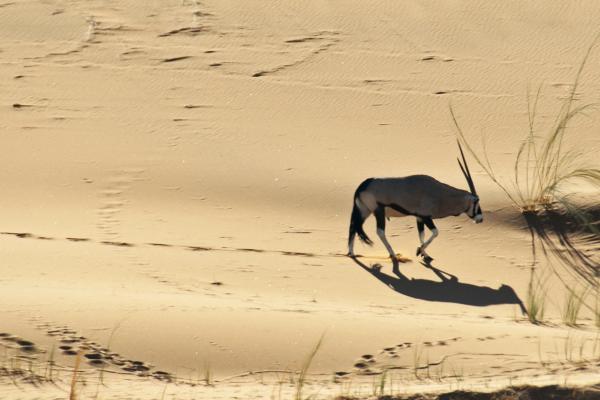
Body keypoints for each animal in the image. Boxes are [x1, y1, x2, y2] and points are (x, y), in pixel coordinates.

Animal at [346, 142, 482, 260]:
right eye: (477, 201)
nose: (480, 219)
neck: (440, 194)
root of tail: (364, 185)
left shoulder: (419, 218)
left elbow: (421, 234)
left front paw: (424, 254)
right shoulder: (425, 217)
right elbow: (435, 232)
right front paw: (419, 251)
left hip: (364, 211)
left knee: (354, 226)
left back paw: (351, 253)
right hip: (378, 211)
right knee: (379, 231)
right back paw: (393, 254)